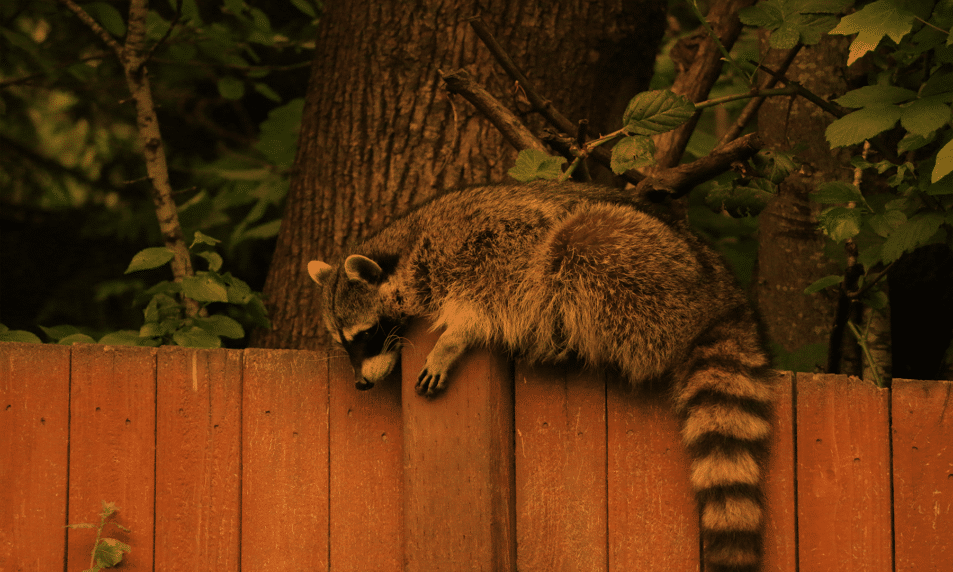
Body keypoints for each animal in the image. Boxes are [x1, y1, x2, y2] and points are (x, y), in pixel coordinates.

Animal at [308, 180, 774, 572]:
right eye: (344, 343)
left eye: (367, 334)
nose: (361, 383)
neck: (407, 245)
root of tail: (722, 293)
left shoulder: (494, 241)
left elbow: (500, 296)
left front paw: (457, 334)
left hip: (645, 269)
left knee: (573, 245)